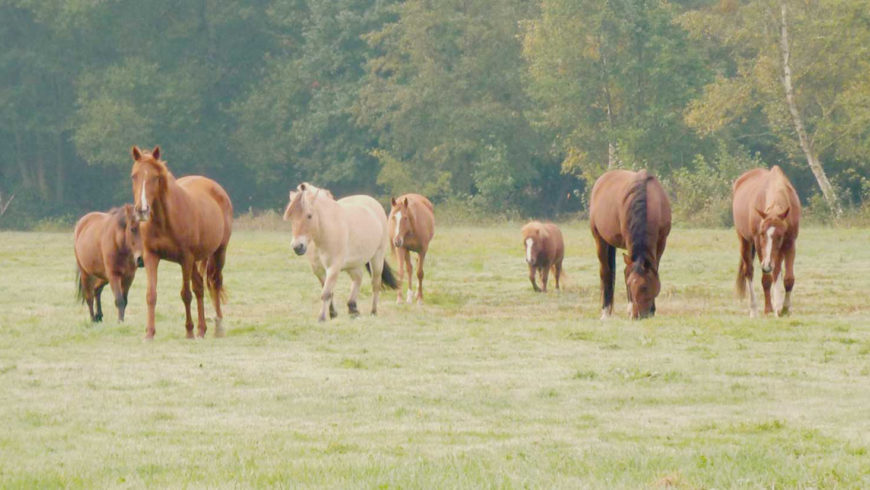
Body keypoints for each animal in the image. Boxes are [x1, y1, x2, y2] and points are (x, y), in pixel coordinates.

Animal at [129, 144, 232, 338]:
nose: (142, 210)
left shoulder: (185, 258)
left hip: (219, 252)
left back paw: (218, 327)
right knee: (199, 286)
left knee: (214, 282)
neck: (164, 220)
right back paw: (201, 329)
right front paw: (149, 333)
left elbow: (186, 294)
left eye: (155, 177)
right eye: (134, 176)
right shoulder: (151, 256)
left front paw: (189, 332)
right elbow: (151, 295)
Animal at [282, 183, 398, 322]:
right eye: (291, 217)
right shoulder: (318, 270)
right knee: (358, 278)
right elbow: (329, 291)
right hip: (353, 264)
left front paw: (321, 318)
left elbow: (326, 293)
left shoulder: (333, 267)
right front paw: (333, 314)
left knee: (375, 283)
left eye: (309, 215)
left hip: (377, 257)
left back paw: (373, 312)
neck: (324, 233)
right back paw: (353, 308)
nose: (297, 246)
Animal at [592, 170, 676, 320]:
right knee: (606, 273)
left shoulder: (661, 242)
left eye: (644, 287)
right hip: (599, 240)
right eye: (629, 285)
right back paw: (605, 312)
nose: (638, 316)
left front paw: (652, 310)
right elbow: (626, 272)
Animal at [732, 165, 800, 318]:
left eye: (780, 235)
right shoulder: (758, 244)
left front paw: (784, 308)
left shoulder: (790, 244)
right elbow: (767, 279)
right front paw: (769, 308)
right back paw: (754, 309)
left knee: (776, 272)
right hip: (744, 241)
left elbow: (788, 278)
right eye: (762, 234)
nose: (767, 265)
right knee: (749, 272)